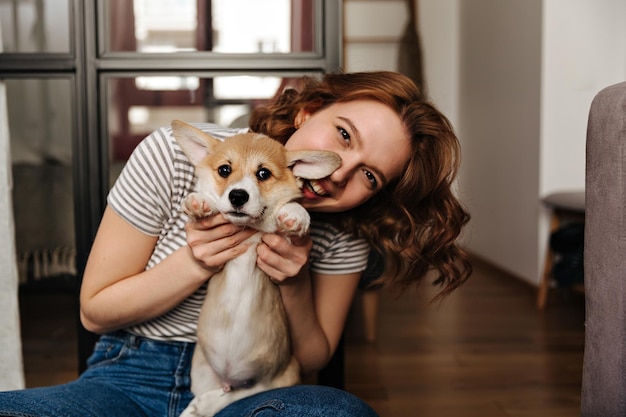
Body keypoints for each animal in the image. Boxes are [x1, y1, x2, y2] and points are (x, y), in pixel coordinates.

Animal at [169, 120, 336, 416]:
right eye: (225, 170)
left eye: (263, 173)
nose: (237, 196)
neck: (249, 230)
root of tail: (229, 379)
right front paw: (200, 201)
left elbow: (290, 212)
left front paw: (295, 214)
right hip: (201, 373)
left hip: (284, 375)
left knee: (242, 393)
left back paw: (204, 405)